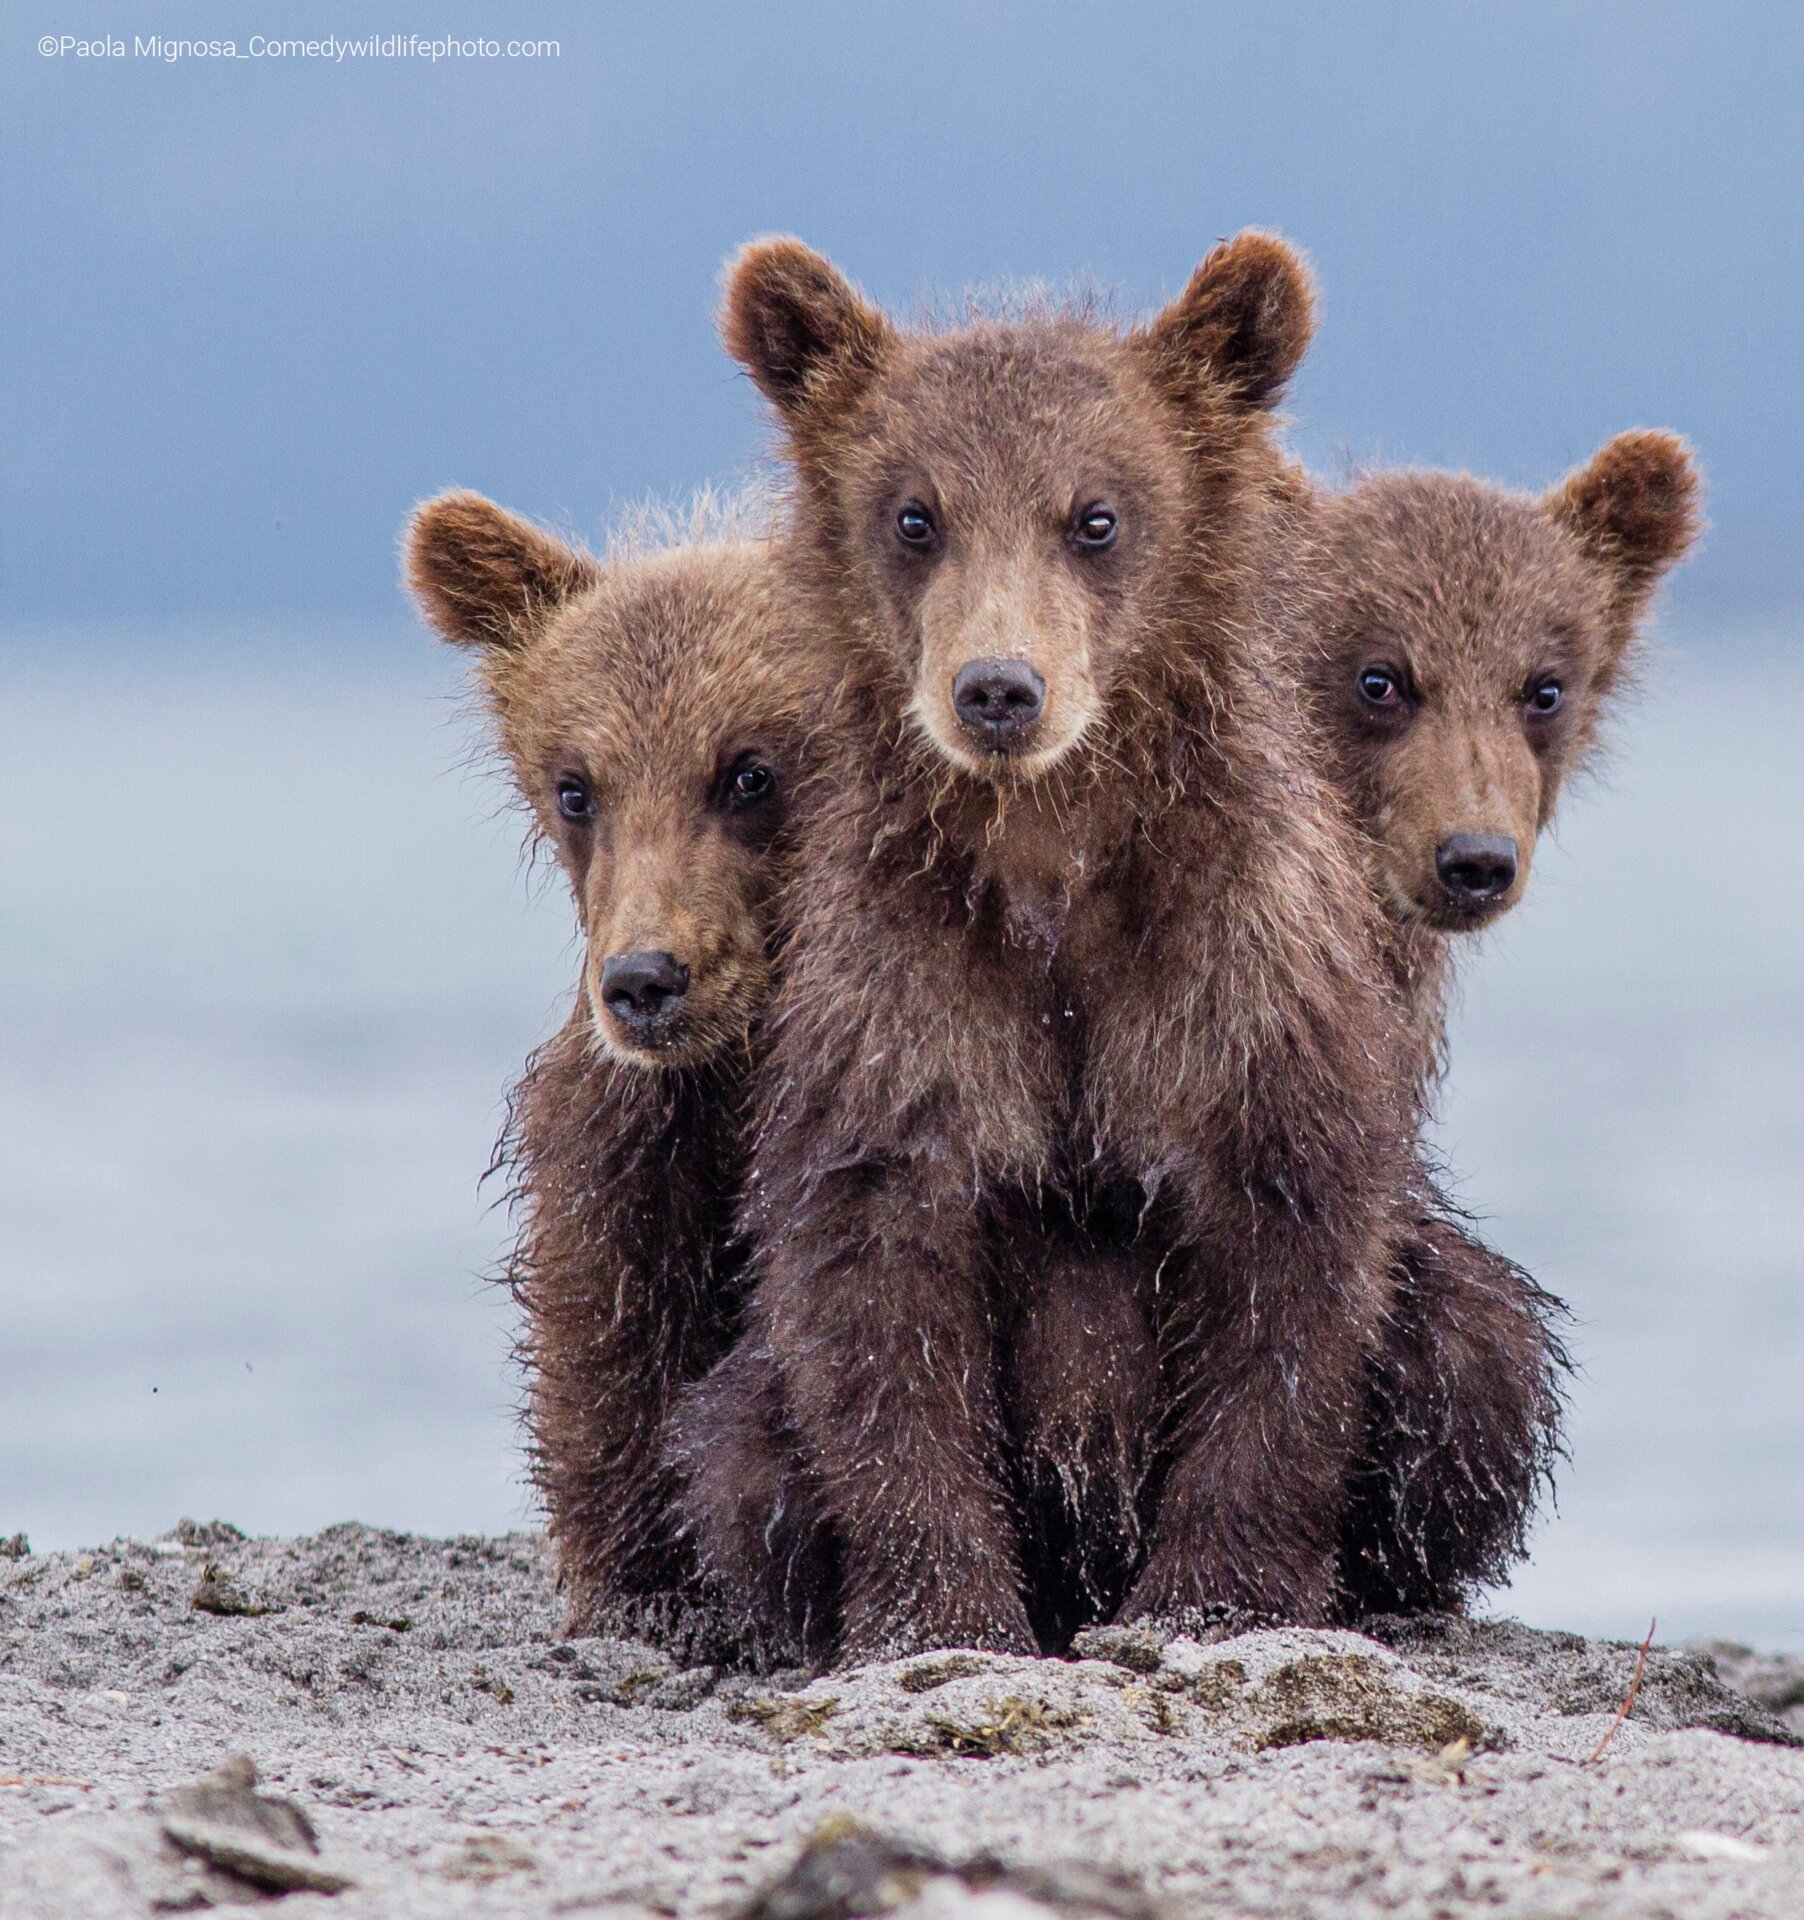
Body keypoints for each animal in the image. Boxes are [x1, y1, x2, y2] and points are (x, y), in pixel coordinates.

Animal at [404, 490, 819, 1655]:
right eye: (575, 786)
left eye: (750, 770)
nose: (644, 981)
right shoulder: (645, 1123)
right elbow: (615, 1301)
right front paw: (647, 1583)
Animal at [678, 229, 1428, 1663]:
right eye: (915, 515)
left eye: (1095, 516)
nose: (998, 689)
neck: (1051, 857)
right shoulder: (901, 982)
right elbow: (879, 1288)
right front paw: (935, 1613)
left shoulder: (1233, 965)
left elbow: (1284, 1265)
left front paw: (1215, 1595)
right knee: (736, 1450)